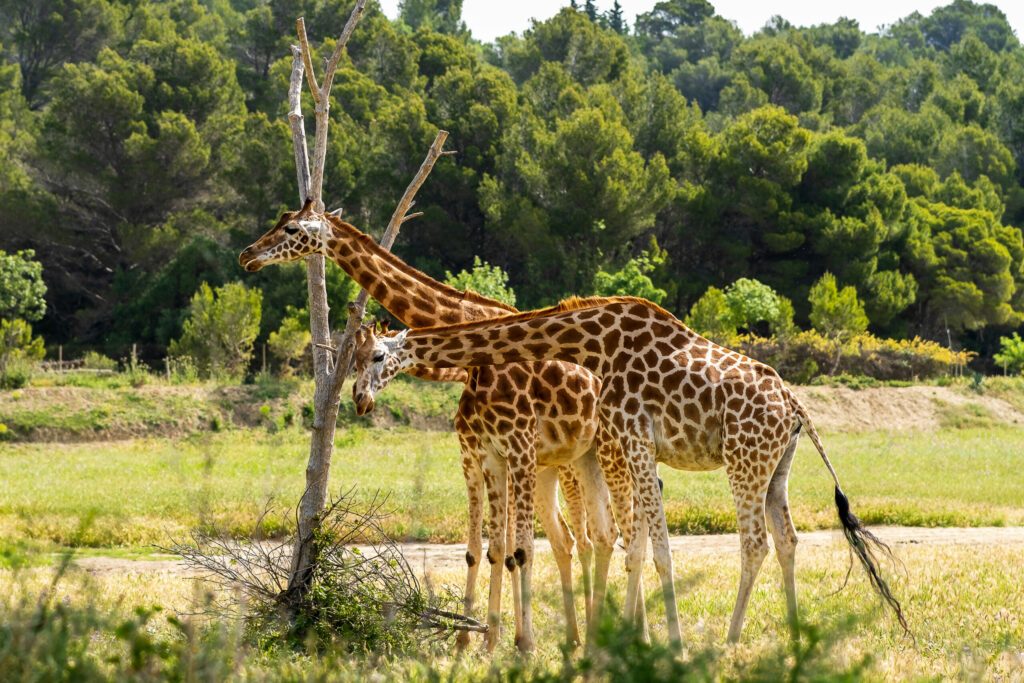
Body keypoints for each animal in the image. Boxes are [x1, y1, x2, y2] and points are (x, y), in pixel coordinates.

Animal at [352, 296, 913, 643]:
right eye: (351, 357)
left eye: (377, 355)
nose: (358, 398)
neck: (593, 345)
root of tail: (796, 406)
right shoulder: (628, 442)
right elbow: (635, 546)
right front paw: (627, 637)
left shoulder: (637, 439)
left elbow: (656, 549)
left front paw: (672, 643)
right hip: (777, 467)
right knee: (787, 538)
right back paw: (795, 637)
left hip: (743, 460)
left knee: (754, 542)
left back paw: (730, 640)